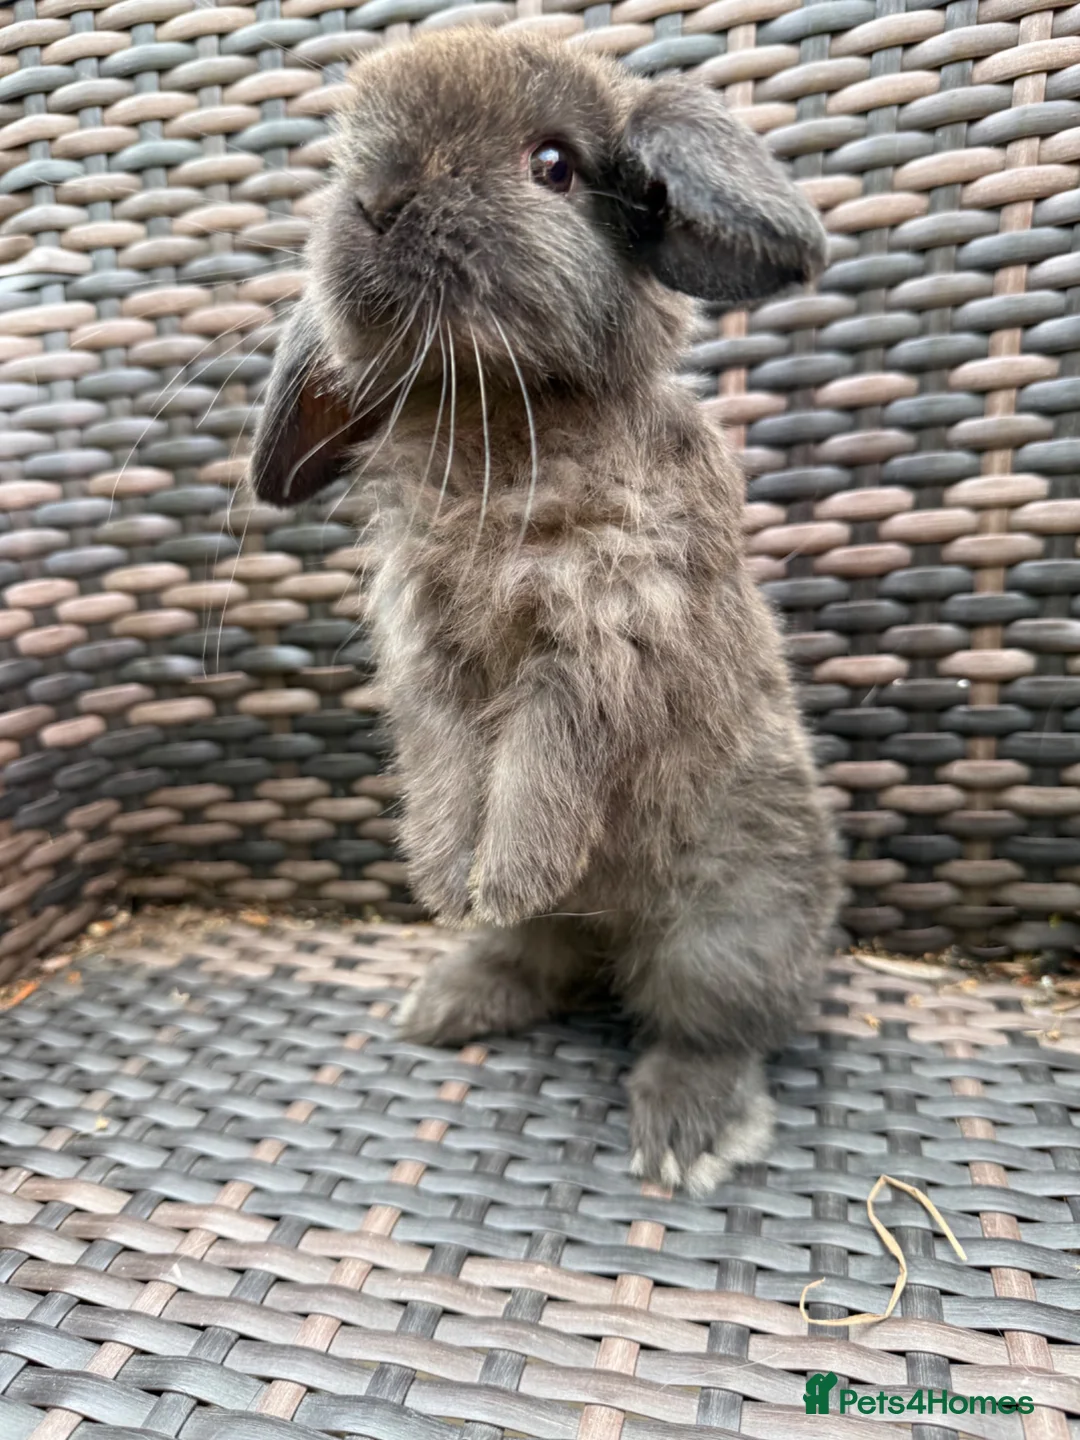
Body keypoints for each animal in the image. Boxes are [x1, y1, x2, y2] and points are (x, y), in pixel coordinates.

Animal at [248, 26, 842, 1196]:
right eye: (346, 158)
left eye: (555, 166)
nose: (377, 200)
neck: (494, 412)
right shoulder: (429, 656)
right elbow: (445, 773)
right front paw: (451, 882)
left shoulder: (598, 644)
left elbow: (541, 771)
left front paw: (506, 873)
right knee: (543, 963)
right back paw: (448, 994)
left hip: (724, 933)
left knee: (717, 1028)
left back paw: (685, 1134)